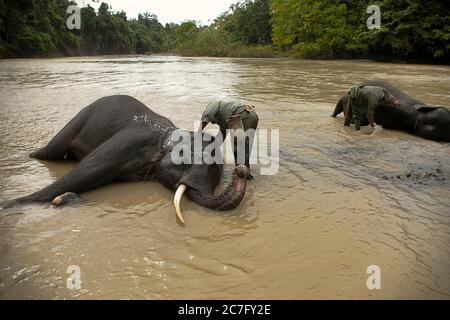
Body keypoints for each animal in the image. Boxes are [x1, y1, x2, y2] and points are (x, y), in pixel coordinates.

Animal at [0, 95, 248, 225]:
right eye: (192, 160)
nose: (242, 170)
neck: (169, 134)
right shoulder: (131, 139)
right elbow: (85, 171)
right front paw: (8, 205)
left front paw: (64, 199)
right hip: (77, 121)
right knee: (49, 153)